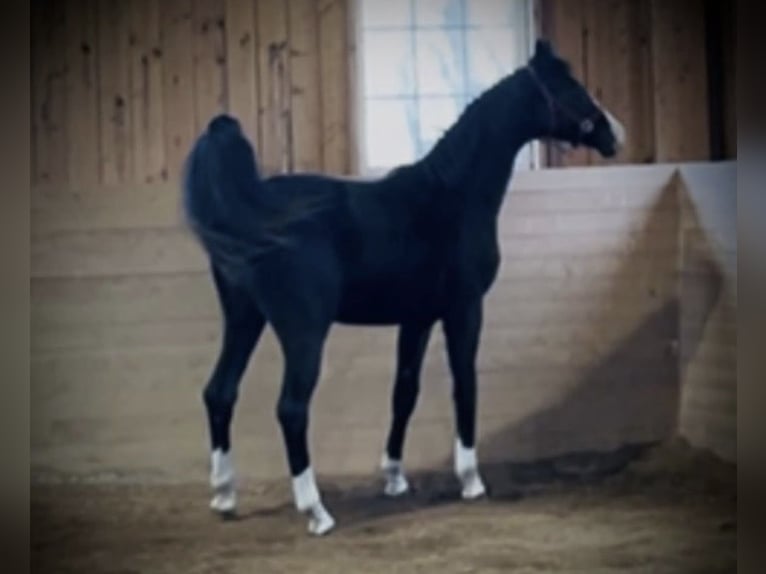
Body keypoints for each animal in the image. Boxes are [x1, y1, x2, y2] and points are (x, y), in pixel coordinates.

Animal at [182, 39, 626, 536]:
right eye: (570, 88)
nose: (614, 134)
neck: (452, 196)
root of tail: (250, 209)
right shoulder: (464, 309)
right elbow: (464, 383)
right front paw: (471, 481)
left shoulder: (417, 317)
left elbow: (404, 392)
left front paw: (394, 477)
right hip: (303, 331)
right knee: (291, 409)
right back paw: (316, 512)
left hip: (244, 319)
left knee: (220, 392)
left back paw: (225, 497)